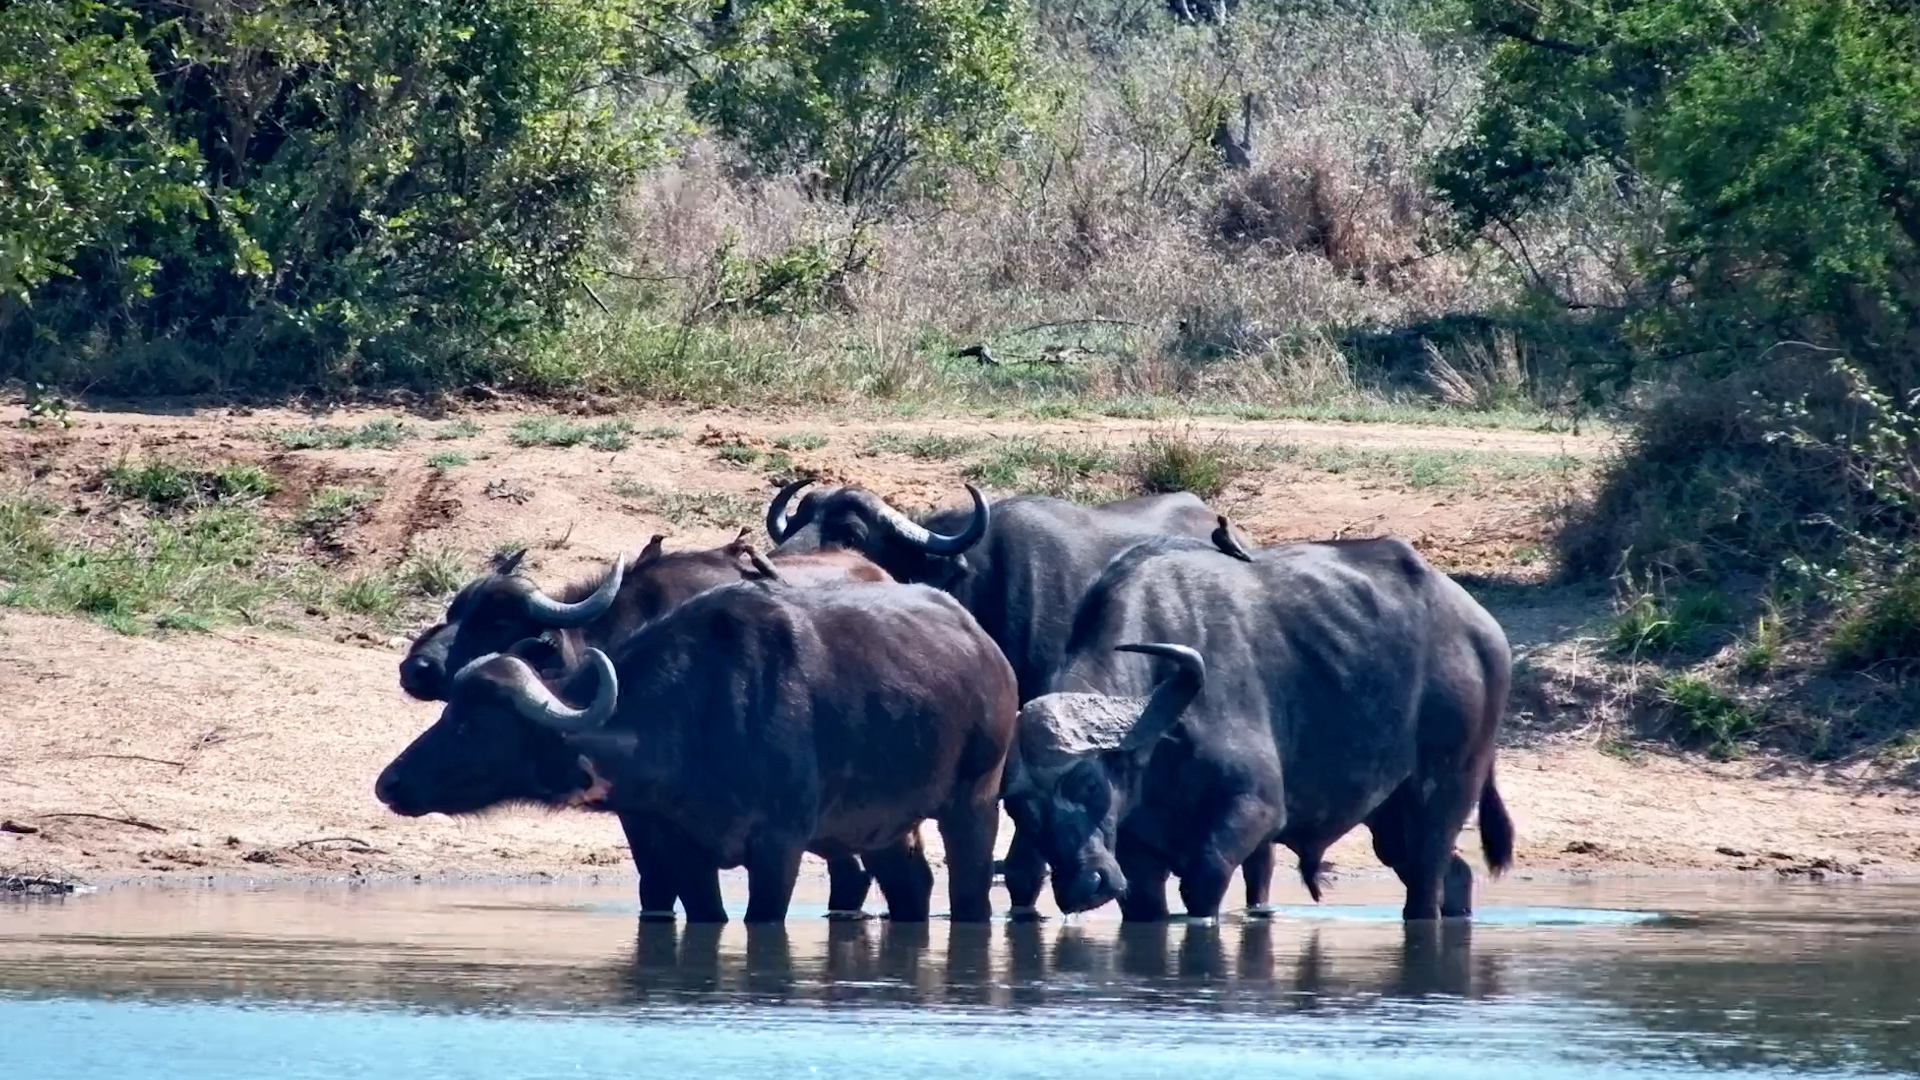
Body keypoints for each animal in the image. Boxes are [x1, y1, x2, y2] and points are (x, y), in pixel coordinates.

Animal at [377, 579, 1017, 923]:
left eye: (472, 724)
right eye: (449, 712)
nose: (389, 782)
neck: (698, 717)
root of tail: (986, 650)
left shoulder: (778, 848)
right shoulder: (681, 848)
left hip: (974, 804)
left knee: (970, 896)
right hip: (884, 829)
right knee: (913, 887)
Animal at [1006, 534, 1514, 922]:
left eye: (1089, 783)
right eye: (1019, 810)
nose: (1084, 886)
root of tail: (1482, 633)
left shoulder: (1256, 809)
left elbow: (1203, 882)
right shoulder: (1136, 858)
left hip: (1445, 792)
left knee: (1427, 881)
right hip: (1391, 821)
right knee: (1454, 873)